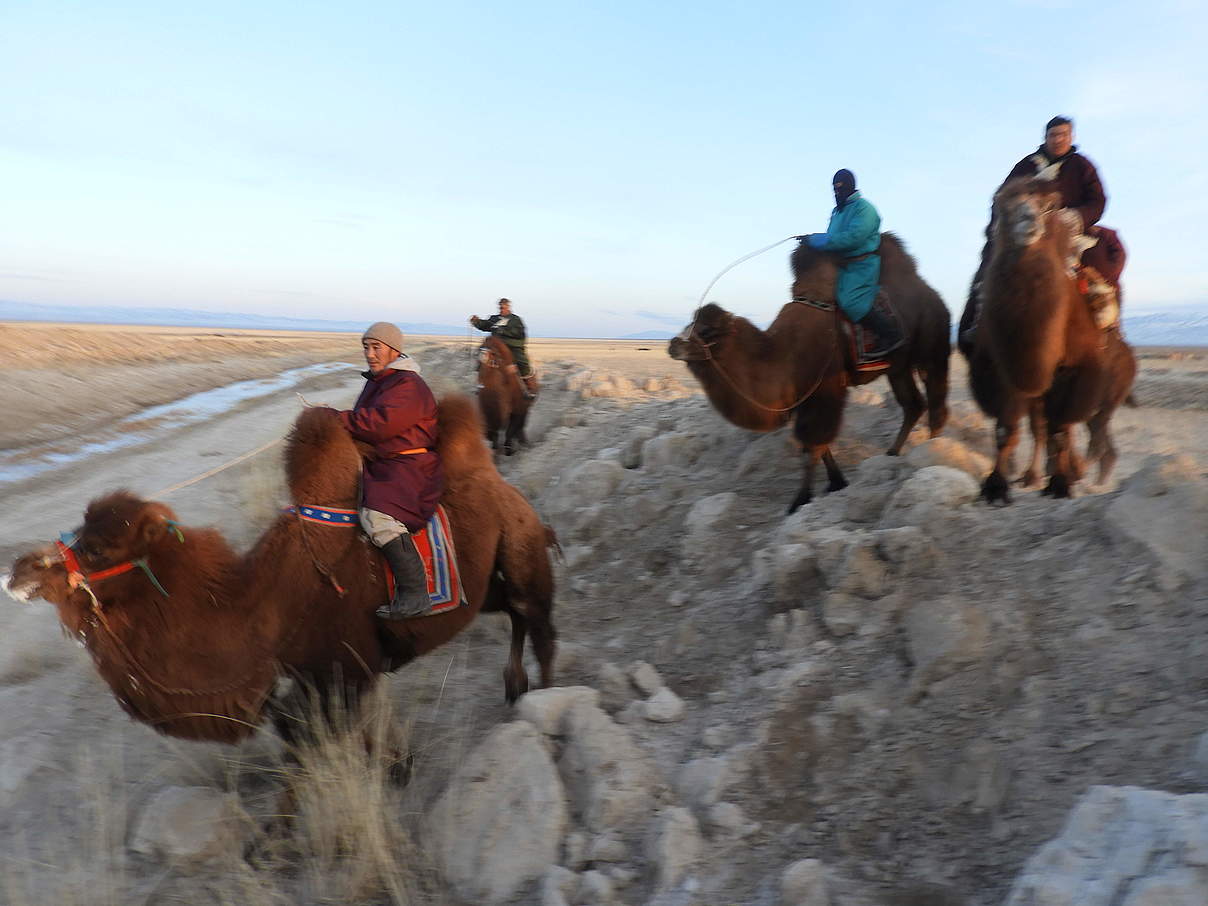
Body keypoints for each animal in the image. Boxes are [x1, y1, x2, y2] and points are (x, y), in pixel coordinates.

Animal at [7, 396, 555, 744]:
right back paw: (514, 685)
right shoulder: (307, 685)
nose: (18, 571)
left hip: (521, 545)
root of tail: (493, 474)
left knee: (537, 618)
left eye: (98, 549)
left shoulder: (345, 673)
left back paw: (543, 695)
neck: (262, 609)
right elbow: (298, 737)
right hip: (484, 586)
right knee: (513, 613)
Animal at [666, 230, 947, 514]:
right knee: (913, 405)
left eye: (707, 331)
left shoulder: (826, 388)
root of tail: (933, 295)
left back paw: (932, 455)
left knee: (936, 403)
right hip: (898, 368)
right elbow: (817, 445)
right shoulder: (803, 393)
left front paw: (799, 501)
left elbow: (812, 445)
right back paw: (893, 453)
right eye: (690, 323)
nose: (673, 344)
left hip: (932, 350)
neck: (781, 352)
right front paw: (837, 482)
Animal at [956, 177, 1135, 504]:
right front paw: (995, 487)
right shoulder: (1001, 367)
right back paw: (1036, 475)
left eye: (1050, 205)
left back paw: (1079, 473)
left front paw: (1061, 484)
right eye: (1001, 204)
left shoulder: (1074, 371)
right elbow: (1006, 429)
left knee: (1087, 432)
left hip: (1106, 398)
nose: (1028, 221)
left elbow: (1060, 429)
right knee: (1044, 428)